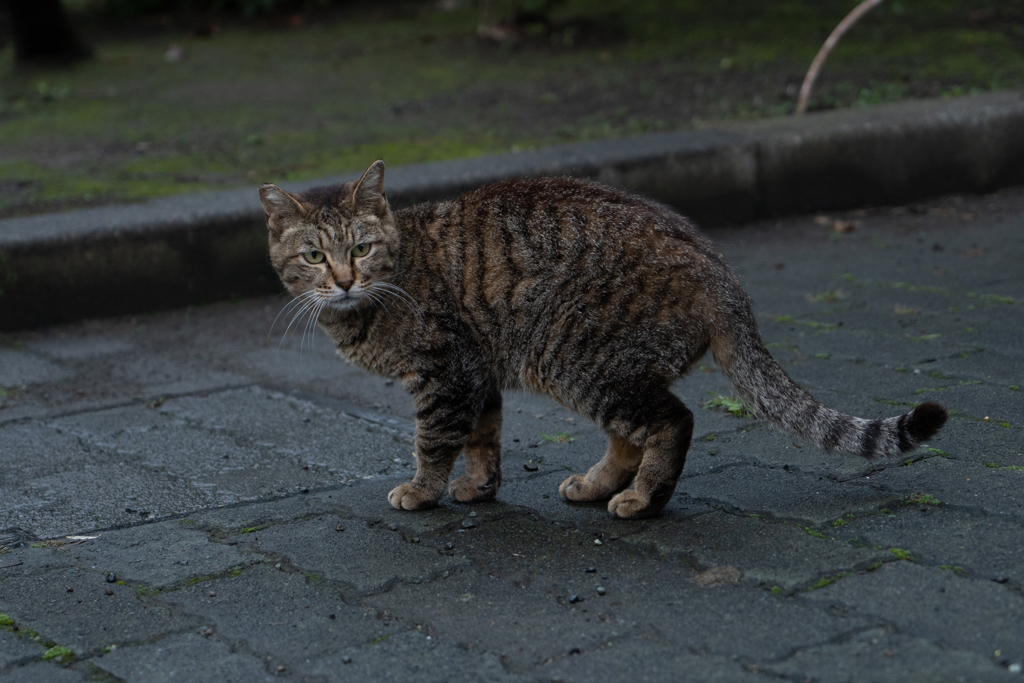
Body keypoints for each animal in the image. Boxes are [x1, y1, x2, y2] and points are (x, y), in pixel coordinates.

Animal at [260, 160, 946, 520]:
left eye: (362, 248)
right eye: (315, 255)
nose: (343, 280)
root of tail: (721, 271)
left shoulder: (445, 373)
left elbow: (434, 441)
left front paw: (422, 491)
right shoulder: (477, 373)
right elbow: (483, 439)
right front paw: (480, 487)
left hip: (579, 358)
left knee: (672, 422)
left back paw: (642, 499)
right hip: (605, 367)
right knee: (630, 434)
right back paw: (597, 485)